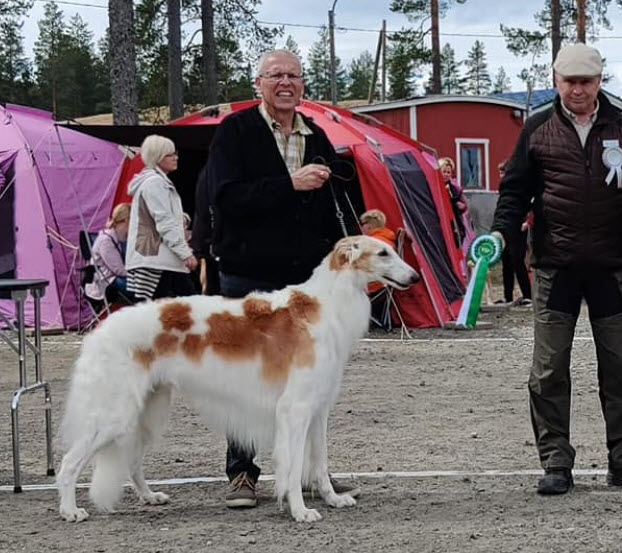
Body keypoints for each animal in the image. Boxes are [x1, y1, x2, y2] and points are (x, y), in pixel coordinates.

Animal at [57, 233, 420, 520]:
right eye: (383, 253)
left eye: (393, 249)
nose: (415, 277)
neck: (326, 305)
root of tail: (100, 330)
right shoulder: (295, 408)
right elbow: (292, 469)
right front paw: (300, 511)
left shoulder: (318, 409)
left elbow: (319, 464)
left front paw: (334, 499)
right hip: (114, 415)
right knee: (69, 464)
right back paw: (70, 510)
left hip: (148, 412)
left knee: (132, 461)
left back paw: (149, 496)